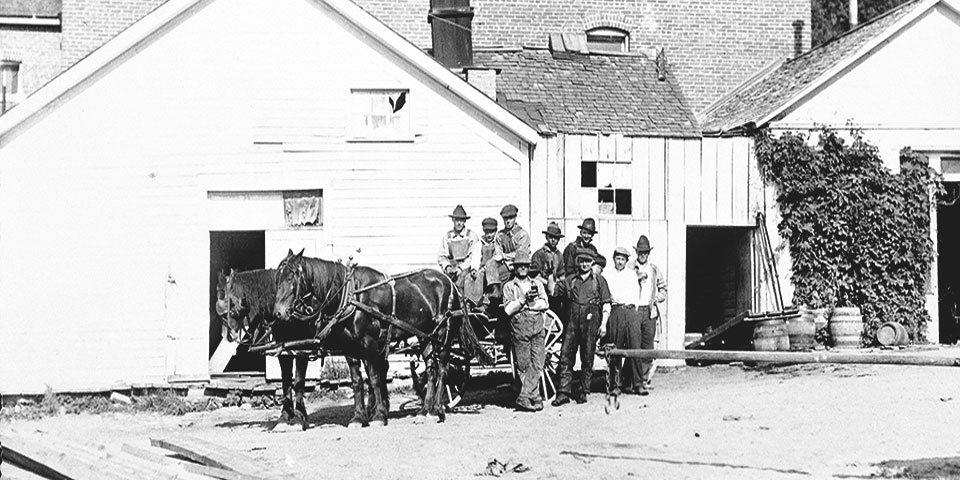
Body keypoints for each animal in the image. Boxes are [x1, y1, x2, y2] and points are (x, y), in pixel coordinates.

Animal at [216, 268, 366, 430]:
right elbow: (286, 382)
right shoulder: (284, 351)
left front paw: (300, 416)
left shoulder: (302, 350)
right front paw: (285, 416)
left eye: (228, 309)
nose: (227, 335)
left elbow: (298, 382)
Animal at [274, 249, 492, 426]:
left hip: (444, 334)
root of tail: (451, 283)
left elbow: (375, 378)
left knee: (443, 369)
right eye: (277, 277)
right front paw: (358, 417)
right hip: (425, 336)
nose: (278, 313)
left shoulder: (370, 343)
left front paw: (379, 415)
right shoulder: (349, 347)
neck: (351, 294)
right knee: (431, 370)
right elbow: (357, 381)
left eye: (291, 277)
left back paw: (437, 409)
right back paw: (424, 411)